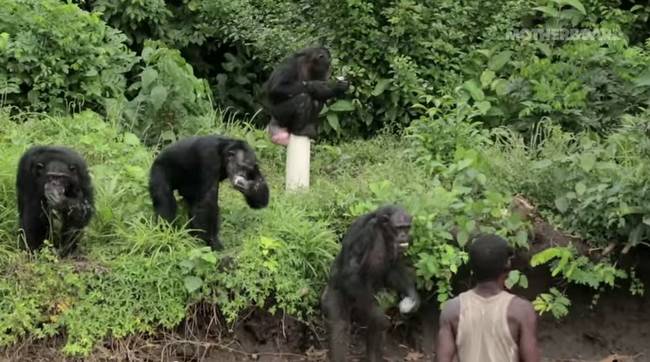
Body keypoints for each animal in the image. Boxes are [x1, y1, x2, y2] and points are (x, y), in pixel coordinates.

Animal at [320, 205, 420, 360]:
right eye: (398, 228)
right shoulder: (364, 233)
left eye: (407, 227)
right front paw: (381, 318)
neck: (382, 231)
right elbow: (351, 270)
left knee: (374, 329)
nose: (404, 235)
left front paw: (413, 297)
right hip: (336, 294)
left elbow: (393, 268)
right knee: (340, 325)